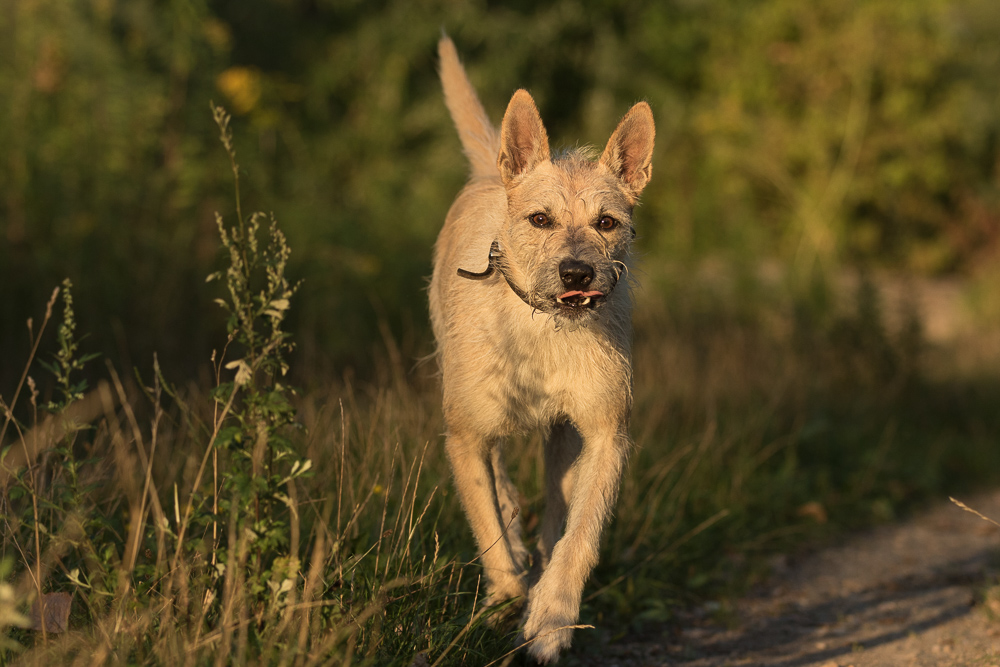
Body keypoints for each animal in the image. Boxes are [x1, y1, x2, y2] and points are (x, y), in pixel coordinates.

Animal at [430, 37, 656, 667]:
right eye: (540, 219)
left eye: (607, 222)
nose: (577, 272)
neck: (545, 330)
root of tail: (493, 171)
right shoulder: (465, 434)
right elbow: (489, 528)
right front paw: (508, 594)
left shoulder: (606, 435)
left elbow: (580, 537)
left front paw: (550, 620)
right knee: (503, 487)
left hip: (562, 437)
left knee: (557, 509)